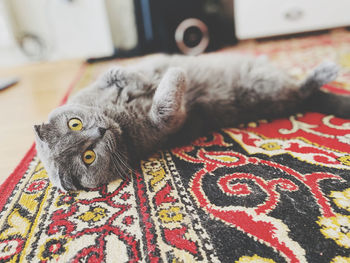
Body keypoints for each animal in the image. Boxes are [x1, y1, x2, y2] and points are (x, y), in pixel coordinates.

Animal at [32, 53, 344, 193]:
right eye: (89, 157)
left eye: (74, 124)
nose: (100, 130)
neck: (117, 117)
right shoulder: (165, 124)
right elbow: (165, 106)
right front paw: (174, 75)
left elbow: (120, 73)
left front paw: (129, 78)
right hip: (264, 87)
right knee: (301, 89)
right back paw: (328, 70)